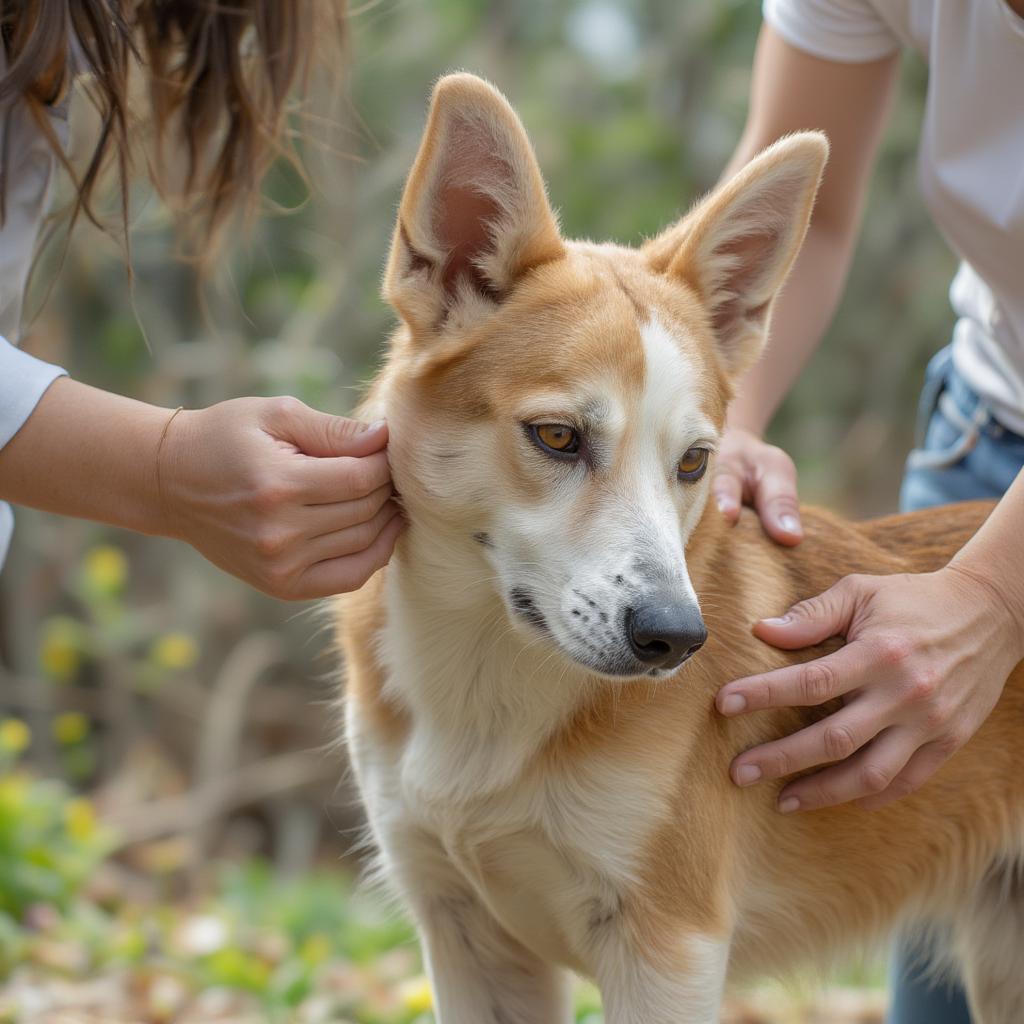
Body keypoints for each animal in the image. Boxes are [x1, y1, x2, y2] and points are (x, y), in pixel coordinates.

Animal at [335, 74, 1024, 1024]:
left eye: (693, 461)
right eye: (557, 437)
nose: (674, 639)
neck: (485, 685)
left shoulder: (666, 948)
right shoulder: (463, 931)